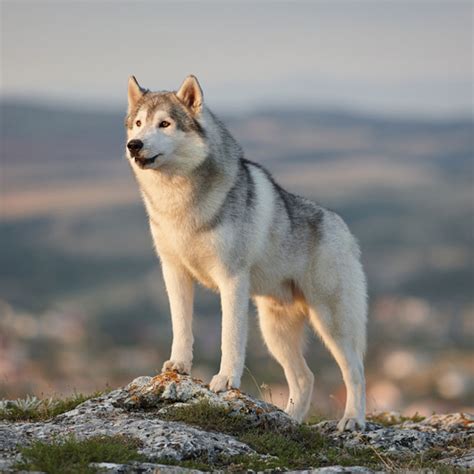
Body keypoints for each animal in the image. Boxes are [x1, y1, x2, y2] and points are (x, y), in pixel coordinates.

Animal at [125, 75, 366, 434]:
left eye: (164, 124)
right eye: (138, 124)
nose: (134, 145)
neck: (179, 203)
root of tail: (343, 227)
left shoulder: (232, 281)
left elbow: (230, 338)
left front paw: (224, 381)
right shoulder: (174, 272)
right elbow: (181, 327)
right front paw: (178, 367)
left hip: (331, 324)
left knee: (355, 372)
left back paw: (352, 420)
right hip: (274, 331)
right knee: (304, 378)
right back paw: (288, 422)